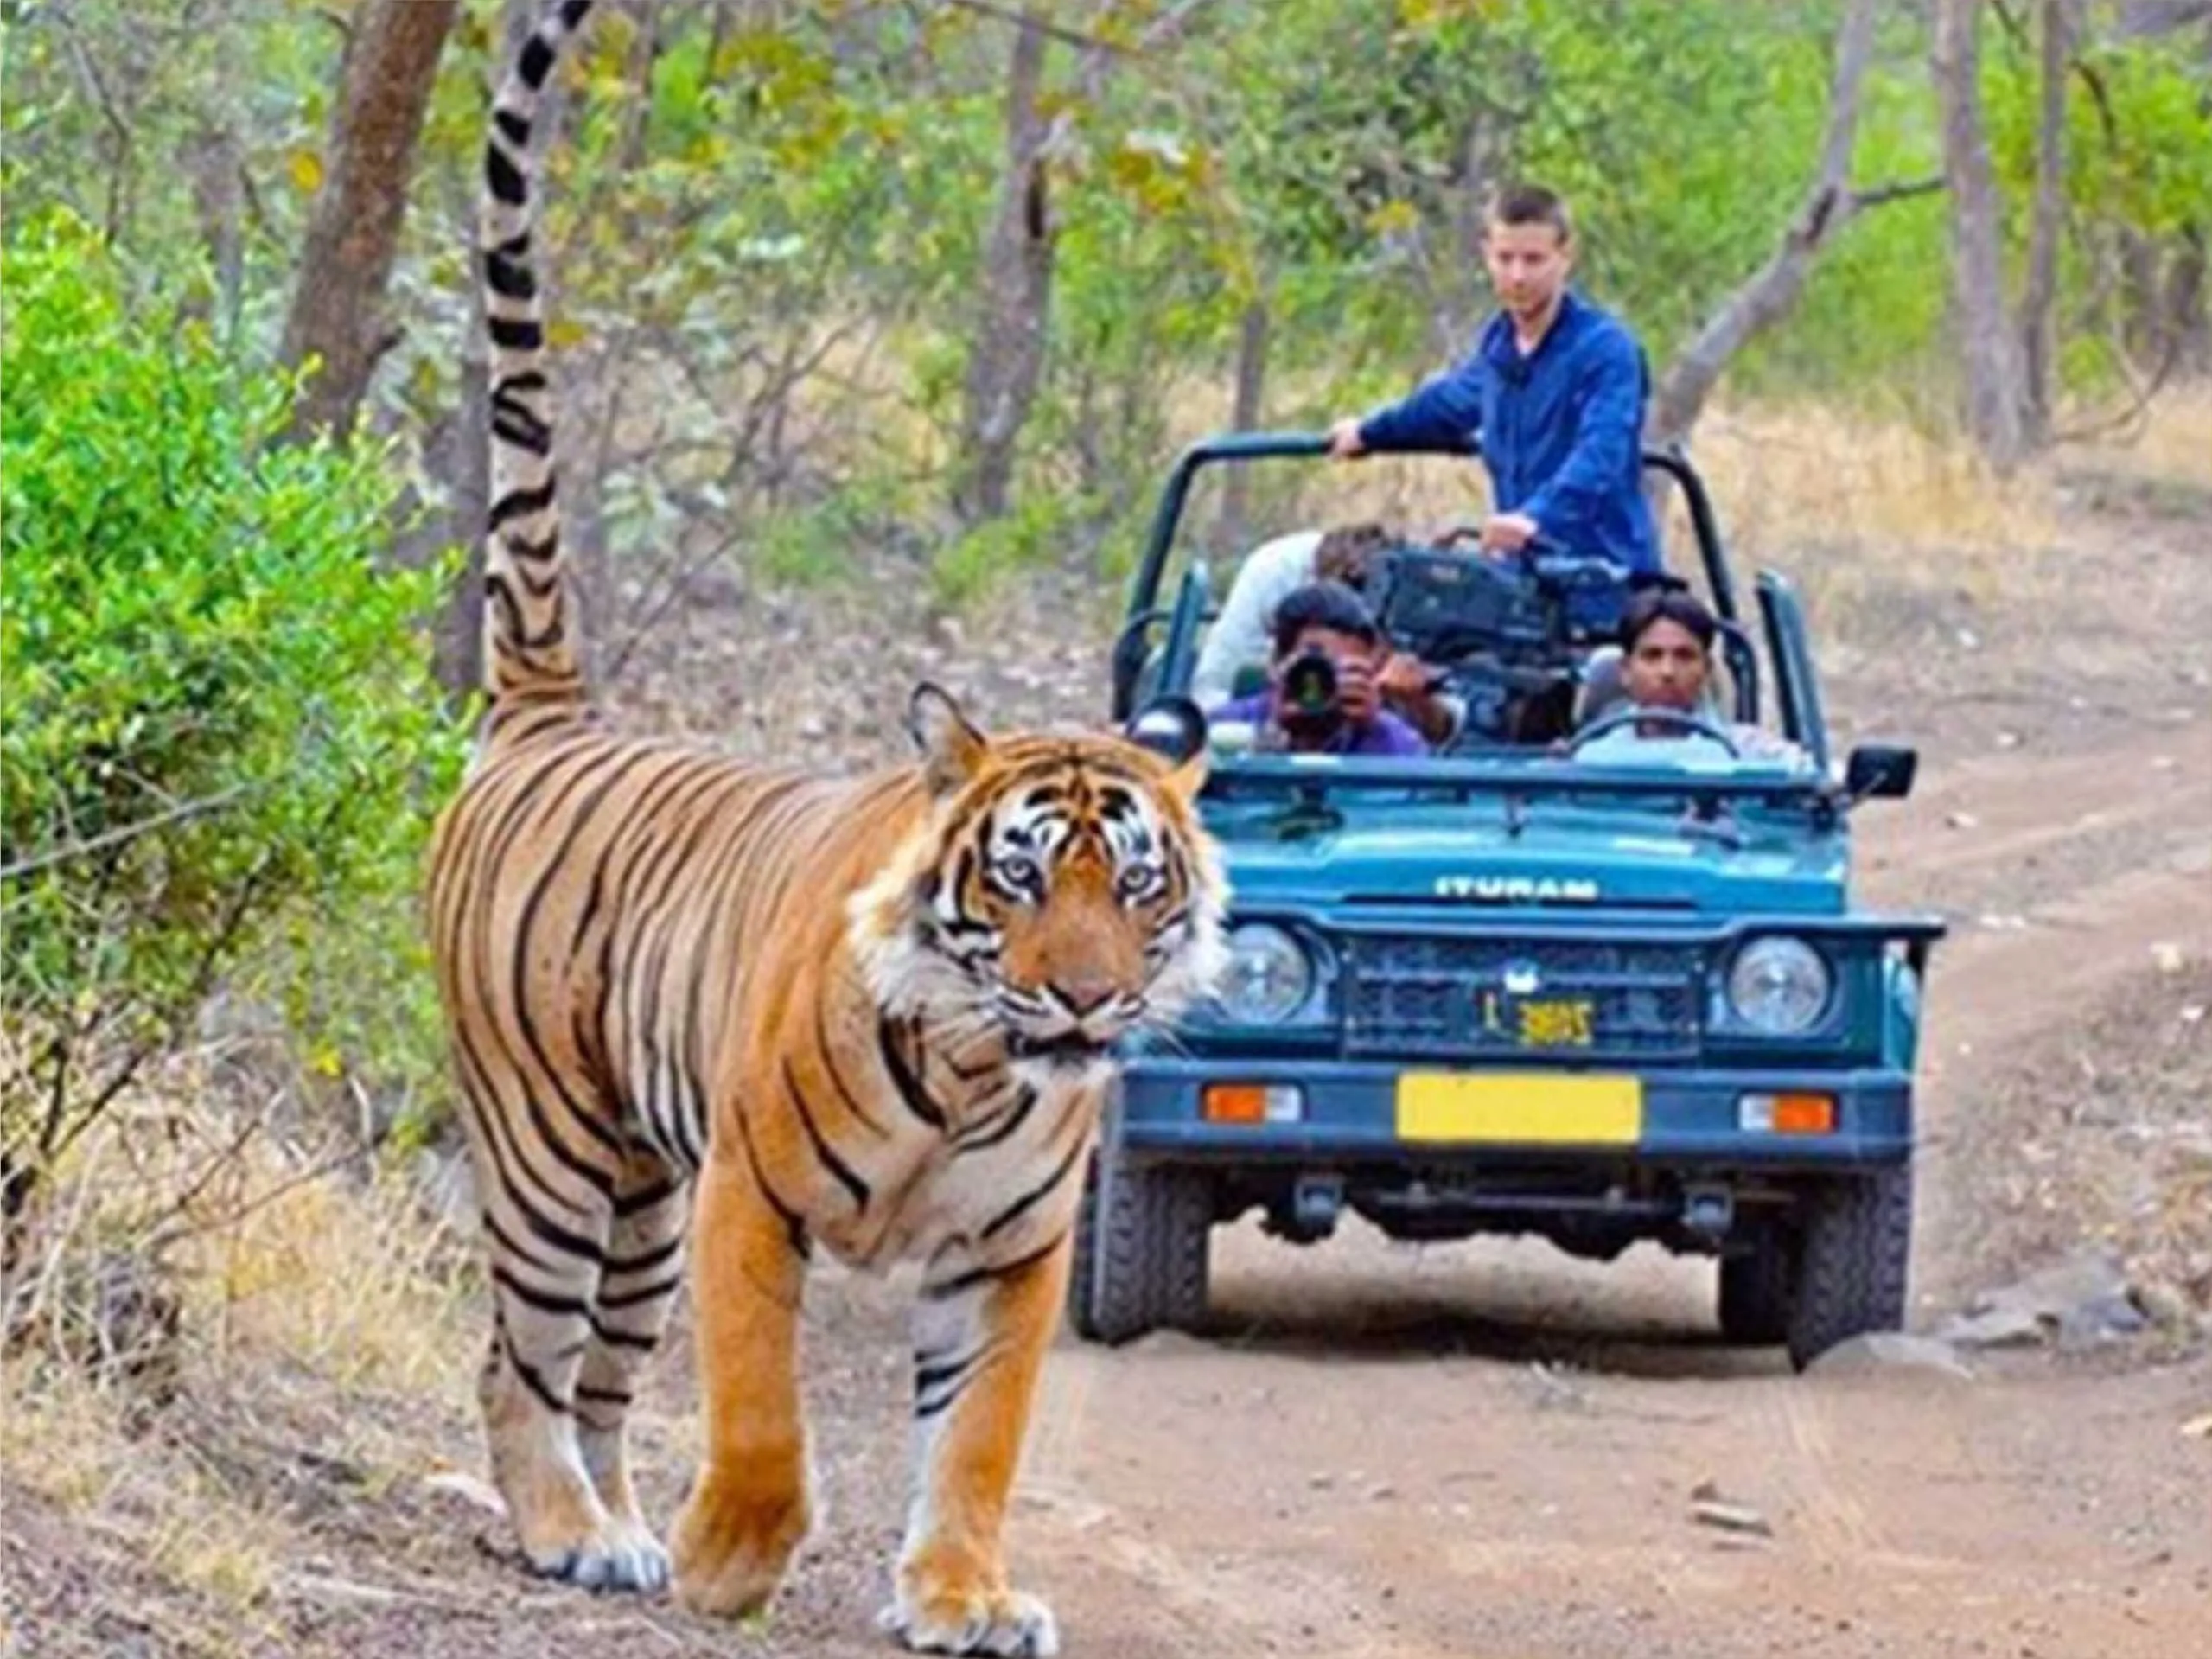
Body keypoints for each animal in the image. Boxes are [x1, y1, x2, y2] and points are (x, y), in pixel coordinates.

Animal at [422, 6, 1229, 1654]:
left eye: (1133, 885)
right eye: (1020, 876)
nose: (1084, 998)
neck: (980, 1073)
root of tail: (547, 714)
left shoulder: (1009, 1252)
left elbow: (975, 1437)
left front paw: (960, 1593)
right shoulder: (750, 1195)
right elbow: (761, 1412)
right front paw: (735, 1557)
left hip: (640, 1195)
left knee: (600, 1373)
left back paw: (614, 1529)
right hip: (548, 1148)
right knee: (517, 1353)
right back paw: (566, 1528)